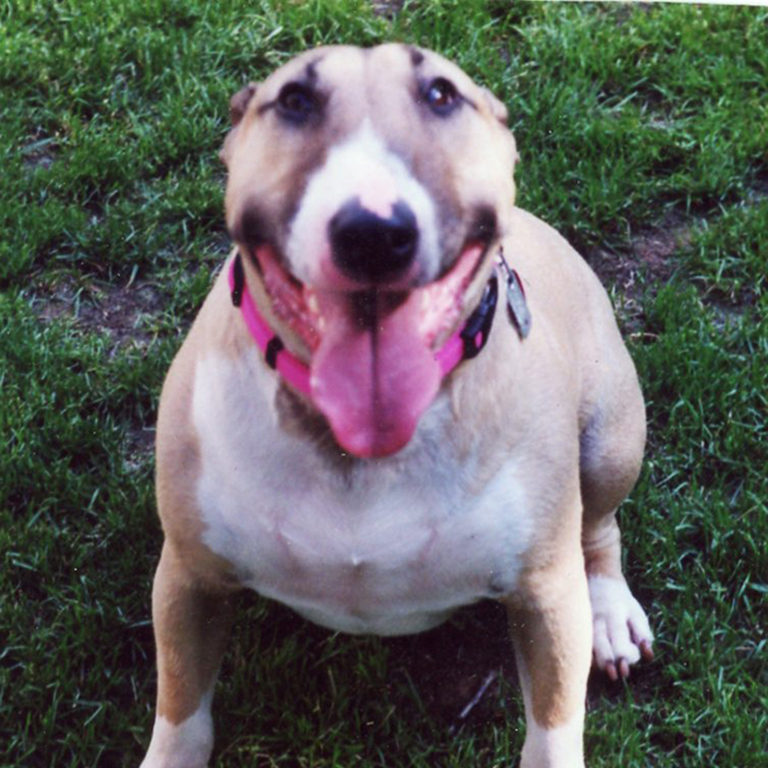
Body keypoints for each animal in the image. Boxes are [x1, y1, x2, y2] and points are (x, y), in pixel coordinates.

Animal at [140, 45, 656, 768]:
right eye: (294, 100)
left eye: (441, 95)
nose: (373, 233)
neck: (355, 449)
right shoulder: (189, 576)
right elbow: (182, 711)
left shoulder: (546, 592)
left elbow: (554, 730)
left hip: (610, 440)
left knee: (600, 528)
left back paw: (611, 616)